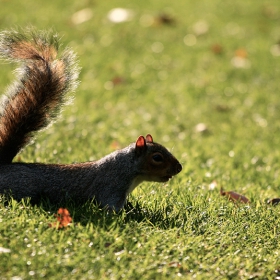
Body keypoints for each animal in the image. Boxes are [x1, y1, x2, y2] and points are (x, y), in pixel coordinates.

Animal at [0, 29, 182, 211]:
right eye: (157, 158)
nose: (179, 168)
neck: (126, 167)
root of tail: (3, 166)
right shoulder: (111, 187)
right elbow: (112, 209)